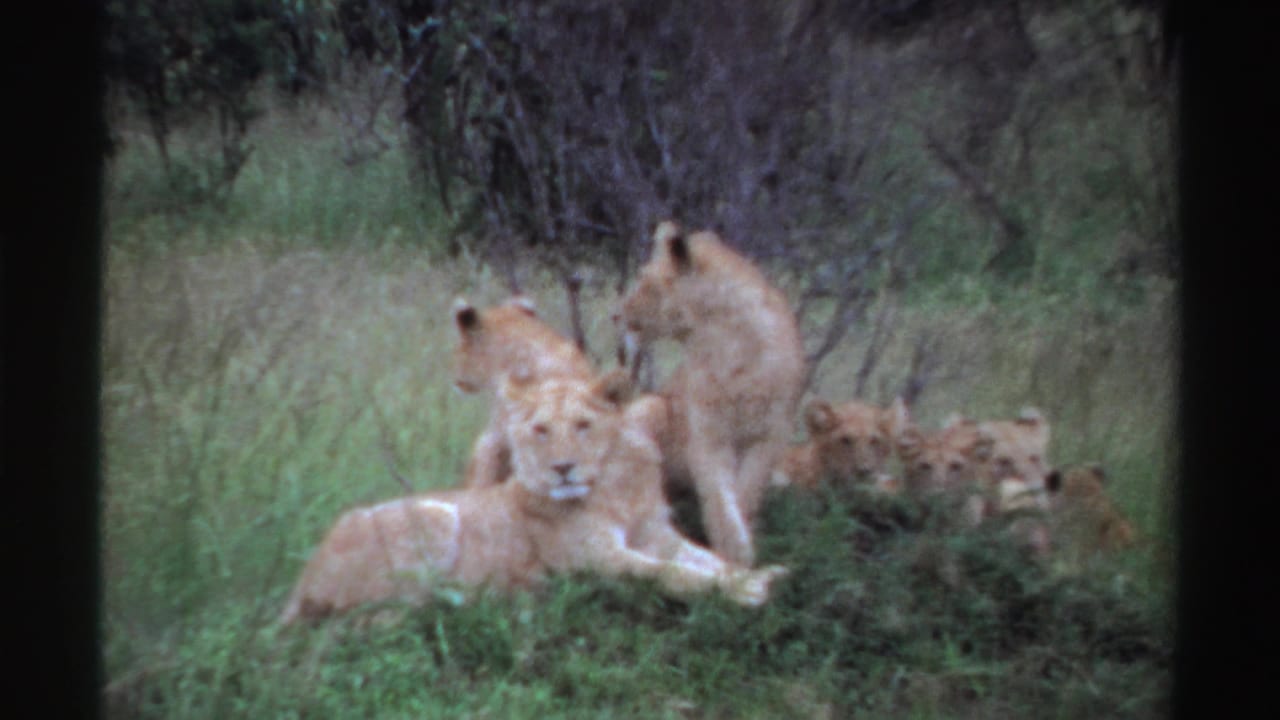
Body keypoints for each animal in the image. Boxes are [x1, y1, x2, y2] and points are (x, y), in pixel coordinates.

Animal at [279, 370, 786, 625]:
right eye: (540, 430)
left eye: (583, 425)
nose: (562, 468)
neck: (616, 485)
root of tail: (301, 581)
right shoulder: (596, 559)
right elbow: (670, 574)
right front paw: (746, 591)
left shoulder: (656, 534)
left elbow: (707, 559)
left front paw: (758, 575)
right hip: (435, 516)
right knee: (380, 616)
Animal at [618, 220, 806, 567]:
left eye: (644, 279)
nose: (616, 314)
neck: (728, 344)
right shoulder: (707, 434)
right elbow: (719, 497)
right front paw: (734, 553)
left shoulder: (771, 435)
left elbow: (746, 493)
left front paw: (741, 549)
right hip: (652, 406)